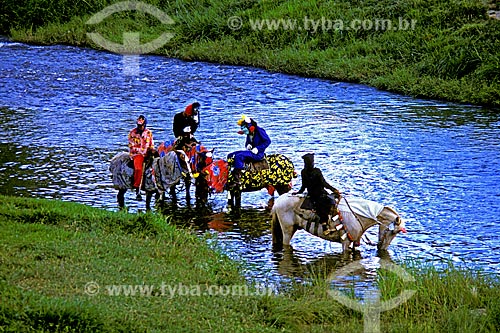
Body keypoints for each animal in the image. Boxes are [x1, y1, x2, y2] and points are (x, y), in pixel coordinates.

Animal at [270, 192, 406, 252]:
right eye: (393, 232)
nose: (383, 248)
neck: (358, 214)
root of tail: (278, 202)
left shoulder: (352, 242)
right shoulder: (345, 242)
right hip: (287, 231)